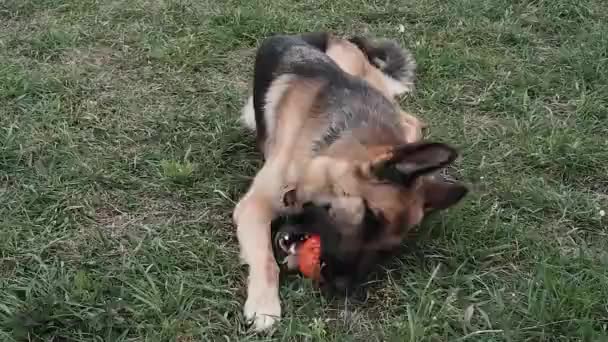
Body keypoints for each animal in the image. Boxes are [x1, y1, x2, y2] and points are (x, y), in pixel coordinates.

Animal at [235, 32, 468, 332]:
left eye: (385, 249)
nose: (343, 287)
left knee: (411, 119)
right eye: (369, 216)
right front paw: (264, 305)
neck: (329, 146)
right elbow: (266, 260)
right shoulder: (253, 206)